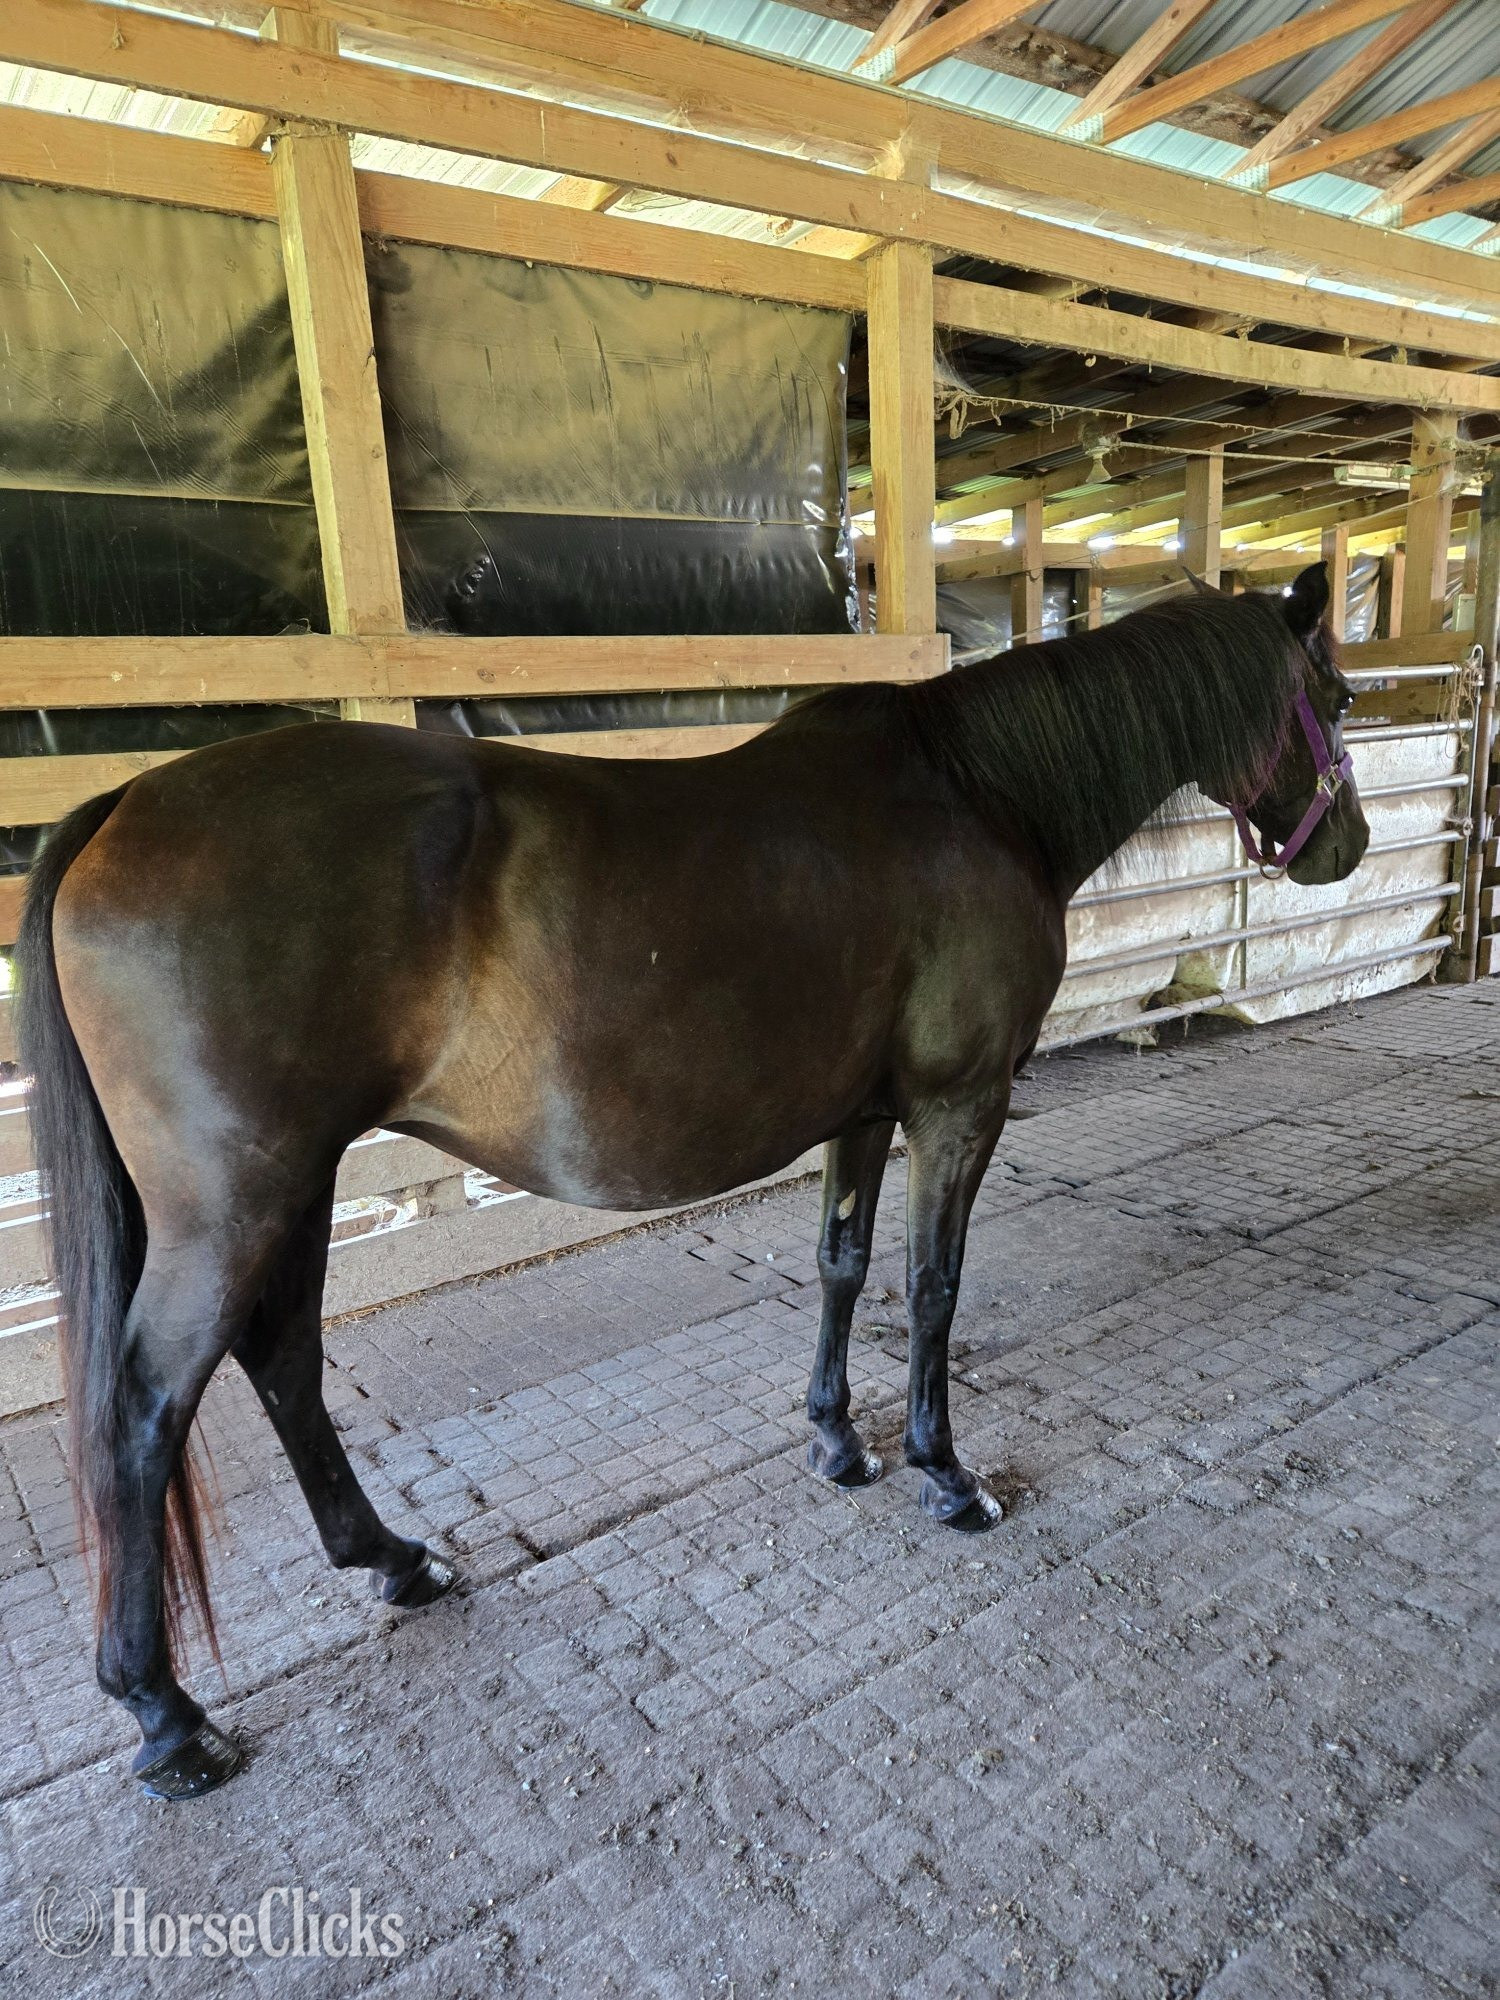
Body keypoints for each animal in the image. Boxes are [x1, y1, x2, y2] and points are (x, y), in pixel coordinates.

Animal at [16, 561, 1368, 1800]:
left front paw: (836, 1440)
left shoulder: (862, 1117)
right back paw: (165, 1714)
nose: (1346, 845)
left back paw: (396, 1560)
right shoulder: (958, 1106)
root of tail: (124, 801)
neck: (976, 798)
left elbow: (842, 1263)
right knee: (147, 1408)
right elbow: (932, 1286)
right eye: (1338, 694)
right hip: (235, 1204)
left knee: (284, 1360)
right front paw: (943, 1471)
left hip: (293, 1189)